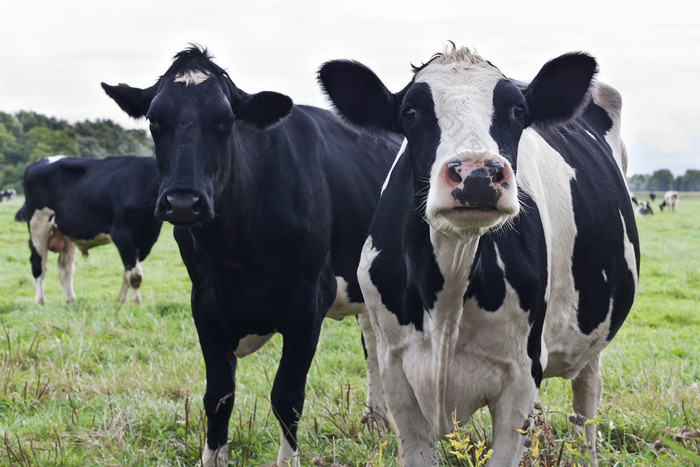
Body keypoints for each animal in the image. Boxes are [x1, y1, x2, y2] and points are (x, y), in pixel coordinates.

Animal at [20, 155, 164, 306]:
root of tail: (38, 162)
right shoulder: (123, 235)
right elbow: (135, 276)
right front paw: (137, 303)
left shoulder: (144, 239)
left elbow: (127, 272)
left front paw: (121, 301)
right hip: (38, 225)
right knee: (38, 264)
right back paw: (40, 301)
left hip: (65, 231)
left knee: (65, 267)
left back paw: (70, 299)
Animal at [101, 44, 402, 467]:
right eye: (154, 121)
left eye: (226, 121)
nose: (183, 202)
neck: (232, 254)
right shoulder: (204, 304)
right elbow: (218, 396)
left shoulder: (309, 302)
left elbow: (287, 396)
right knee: (374, 342)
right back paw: (376, 418)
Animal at [320, 45, 644, 466]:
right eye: (410, 112)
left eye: (518, 111)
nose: (476, 174)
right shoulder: (396, 371)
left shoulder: (521, 375)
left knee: (587, 397)